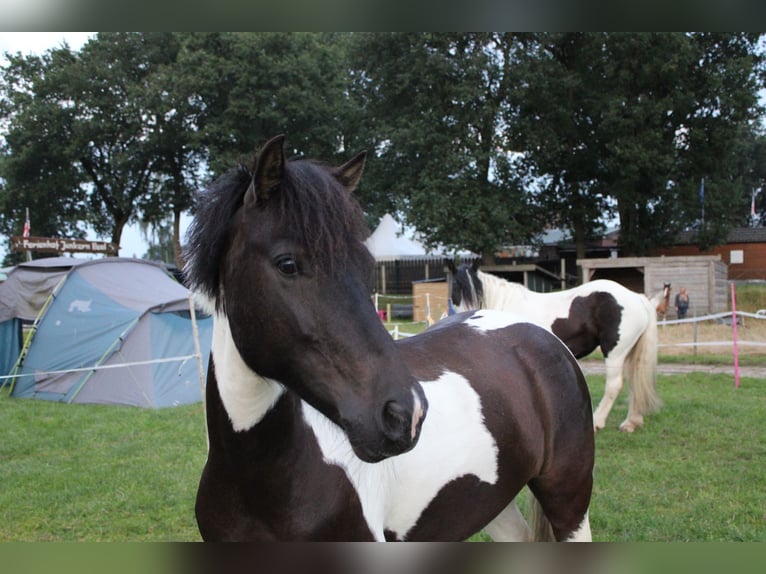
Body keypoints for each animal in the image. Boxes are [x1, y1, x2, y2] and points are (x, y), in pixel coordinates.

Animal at [183, 136, 596, 544]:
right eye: (287, 264)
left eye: (366, 266)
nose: (405, 415)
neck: (259, 482)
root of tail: (538, 334)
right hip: (494, 502)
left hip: (570, 505)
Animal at [448, 260, 664, 432]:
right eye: (456, 287)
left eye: (475, 289)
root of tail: (637, 297)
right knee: (634, 382)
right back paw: (631, 423)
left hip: (615, 352)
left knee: (614, 385)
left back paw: (597, 422)